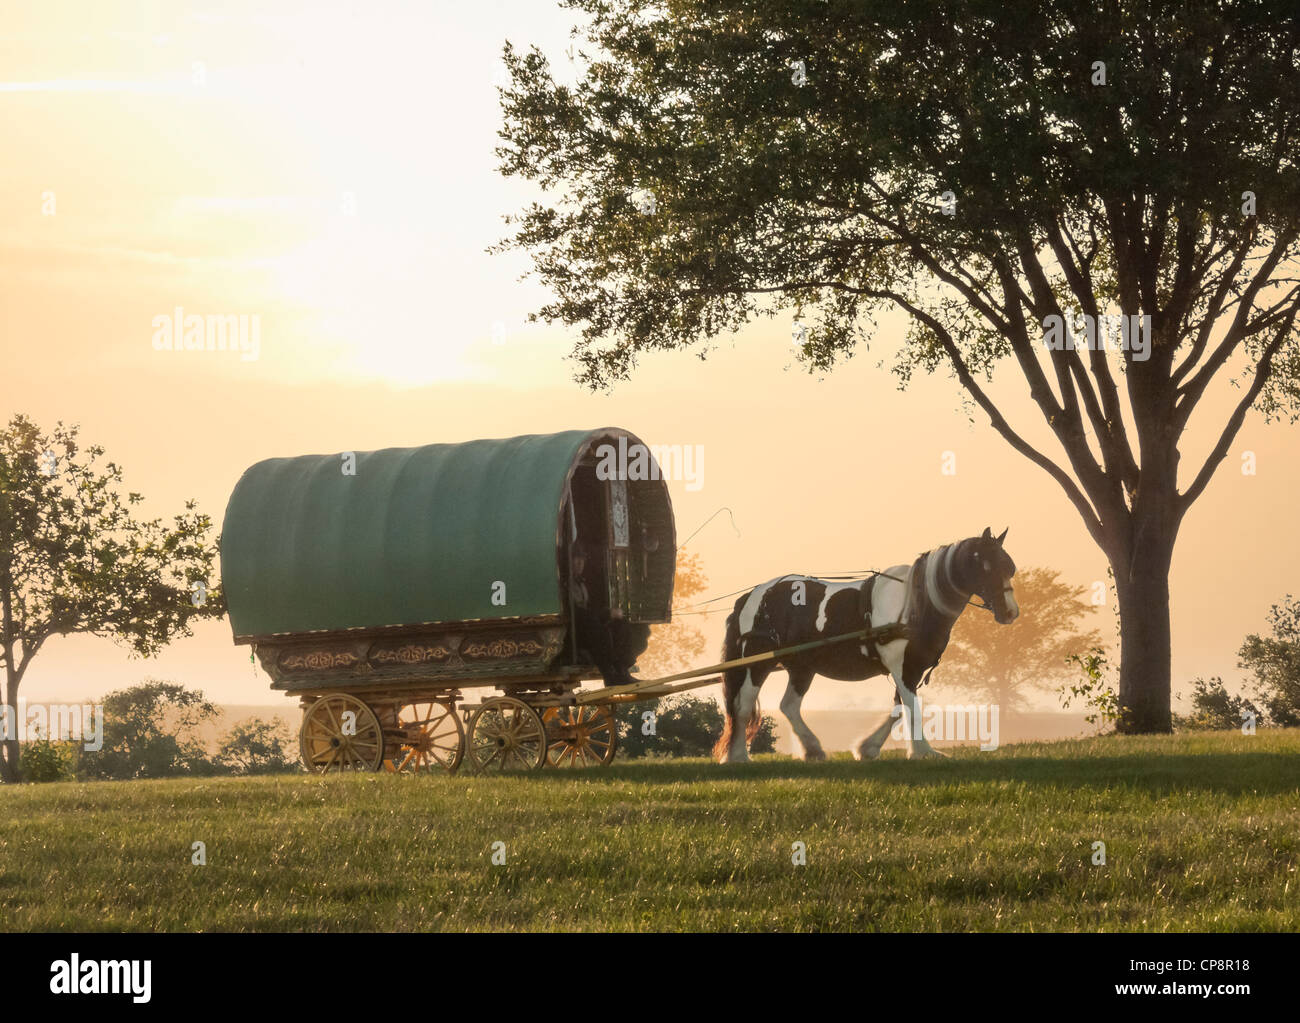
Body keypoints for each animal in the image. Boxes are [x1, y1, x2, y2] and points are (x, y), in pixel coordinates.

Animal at [717, 532, 1019, 764]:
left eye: (1010, 568)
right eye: (987, 567)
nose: (1011, 612)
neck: (915, 603)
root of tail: (753, 594)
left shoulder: (912, 667)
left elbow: (898, 706)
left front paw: (868, 748)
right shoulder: (902, 666)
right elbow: (911, 706)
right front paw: (923, 750)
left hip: (802, 666)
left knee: (788, 705)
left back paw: (812, 749)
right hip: (757, 661)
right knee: (743, 705)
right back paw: (738, 755)